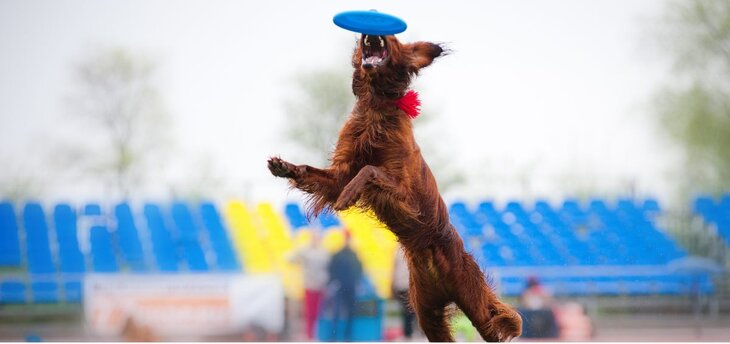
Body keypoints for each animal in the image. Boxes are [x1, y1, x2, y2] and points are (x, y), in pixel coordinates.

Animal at [270, 33, 520, 340]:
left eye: (394, 39)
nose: (371, 33)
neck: (375, 108)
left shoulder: (403, 191)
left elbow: (369, 170)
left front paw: (348, 196)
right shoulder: (341, 172)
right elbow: (317, 173)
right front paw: (285, 167)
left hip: (476, 304)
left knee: (498, 325)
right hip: (428, 314)